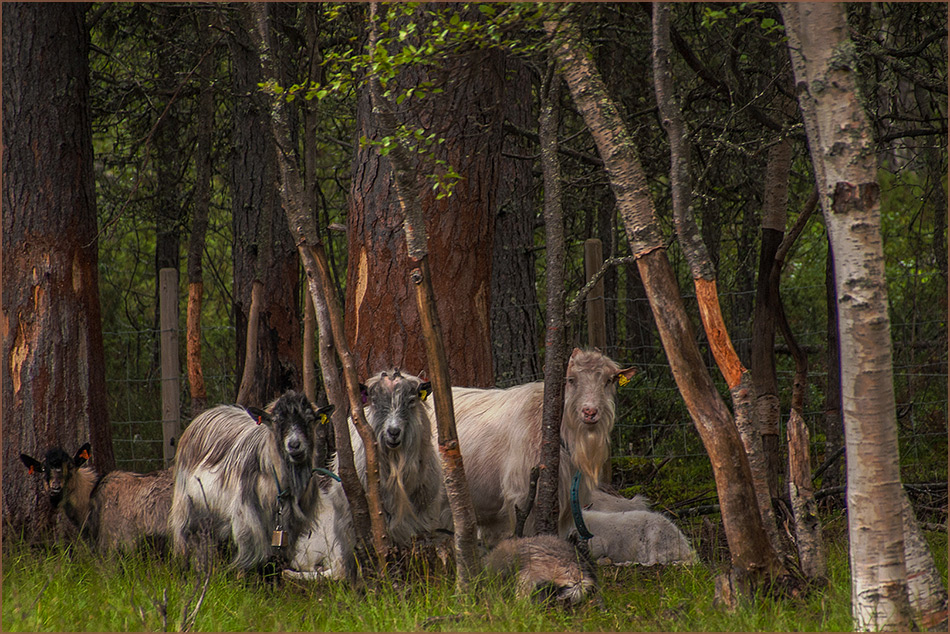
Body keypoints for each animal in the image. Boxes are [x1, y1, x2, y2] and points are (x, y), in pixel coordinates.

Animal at [171, 388, 334, 572]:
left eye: (310, 419)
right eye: (277, 421)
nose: (294, 445)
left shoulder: (293, 527)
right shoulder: (247, 519)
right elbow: (249, 559)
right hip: (187, 506)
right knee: (189, 539)